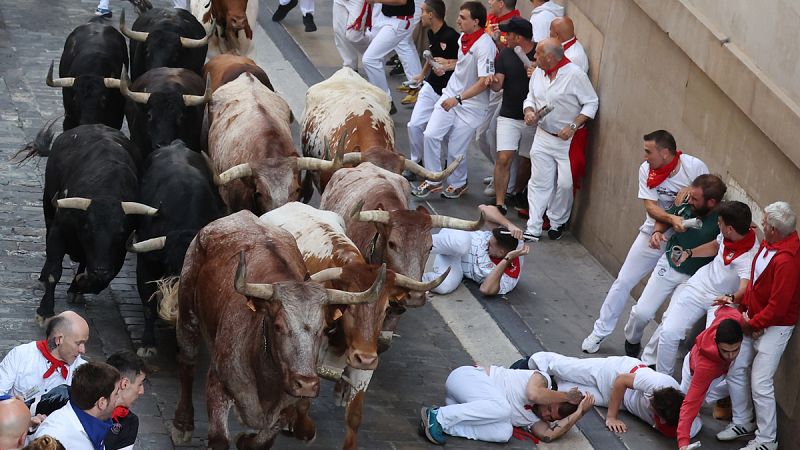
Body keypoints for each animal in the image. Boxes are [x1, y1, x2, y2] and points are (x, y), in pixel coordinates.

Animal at [167, 212, 386, 450]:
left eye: (323, 329)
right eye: (279, 326)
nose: (306, 384)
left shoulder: (287, 406)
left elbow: (260, 441)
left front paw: (245, 439)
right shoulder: (218, 384)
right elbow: (219, 439)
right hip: (187, 314)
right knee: (187, 363)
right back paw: (182, 424)